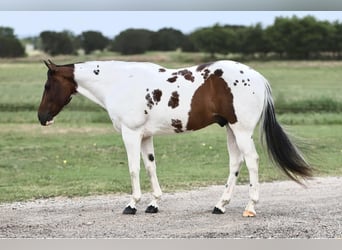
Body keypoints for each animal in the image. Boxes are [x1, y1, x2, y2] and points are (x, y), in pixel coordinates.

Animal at [38, 59, 312, 216]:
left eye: (48, 86)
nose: (42, 117)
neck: (119, 82)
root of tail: (258, 78)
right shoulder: (145, 136)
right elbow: (150, 167)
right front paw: (153, 204)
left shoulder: (131, 134)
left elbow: (134, 169)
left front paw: (132, 204)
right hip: (231, 130)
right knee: (236, 162)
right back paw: (220, 205)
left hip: (242, 130)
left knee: (252, 161)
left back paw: (250, 207)